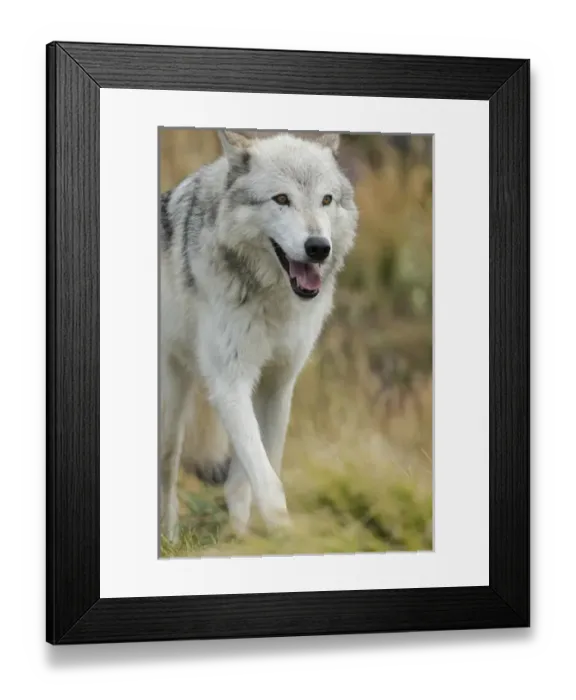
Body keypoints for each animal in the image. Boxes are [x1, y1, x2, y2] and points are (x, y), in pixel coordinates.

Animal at [159, 129, 358, 543]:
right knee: (167, 470)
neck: (271, 300)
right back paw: (168, 540)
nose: (319, 247)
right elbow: (266, 480)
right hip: (172, 405)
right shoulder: (230, 384)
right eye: (281, 199)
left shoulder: (277, 385)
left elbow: (251, 474)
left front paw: (240, 539)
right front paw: (284, 534)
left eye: (326, 199)